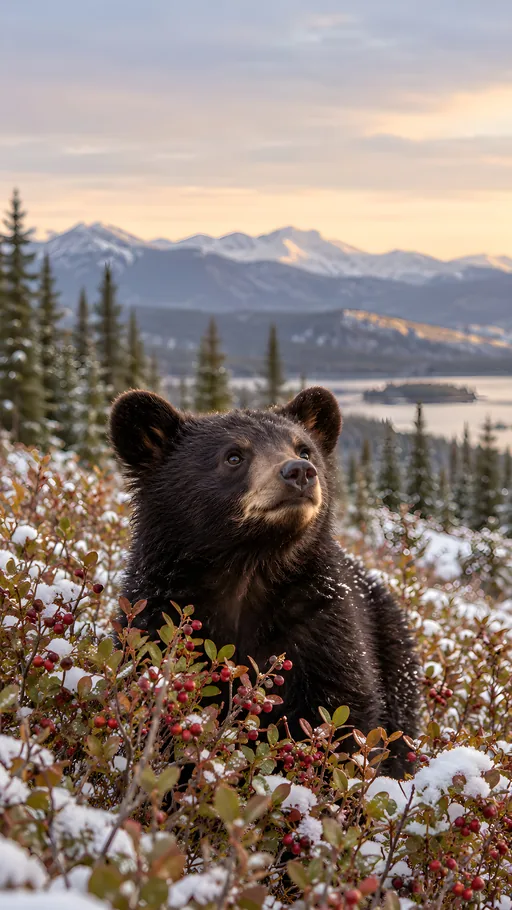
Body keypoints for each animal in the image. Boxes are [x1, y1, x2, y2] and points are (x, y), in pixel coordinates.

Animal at [109, 386, 420, 779]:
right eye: (233, 456)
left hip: (394, 657)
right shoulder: (155, 624)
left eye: (303, 449)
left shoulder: (322, 627)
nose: (300, 472)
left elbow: (345, 715)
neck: (247, 571)